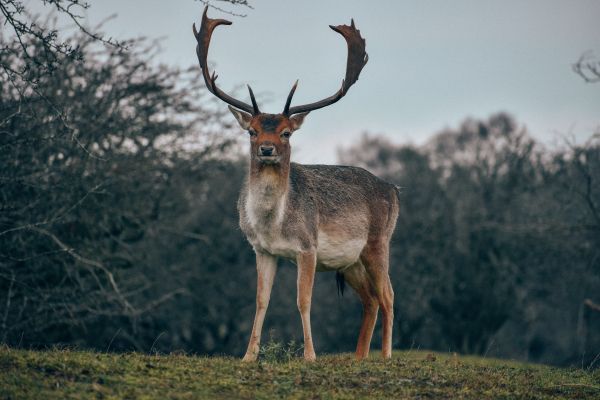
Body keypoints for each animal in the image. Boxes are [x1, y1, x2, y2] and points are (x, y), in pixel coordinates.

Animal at [192, 7, 398, 362]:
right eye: (252, 131)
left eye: (286, 132)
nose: (266, 149)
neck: (274, 224)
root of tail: (395, 190)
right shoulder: (261, 250)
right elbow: (261, 301)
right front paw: (248, 356)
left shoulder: (308, 247)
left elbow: (303, 301)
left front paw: (310, 356)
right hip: (351, 261)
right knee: (371, 299)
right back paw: (358, 357)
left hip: (378, 242)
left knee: (388, 295)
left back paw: (384, 356)